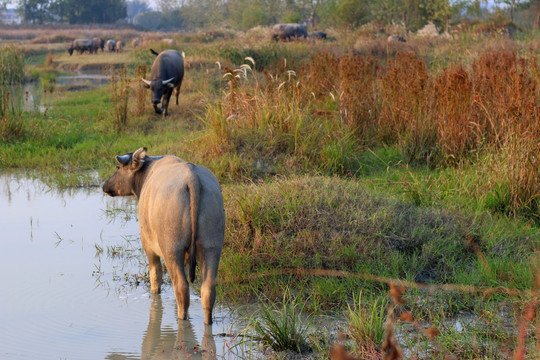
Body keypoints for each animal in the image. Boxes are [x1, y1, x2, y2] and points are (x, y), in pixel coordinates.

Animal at [102, 146, 225, 324]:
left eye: (118, 167)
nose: (105, 185)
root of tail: (192, 178)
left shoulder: (148, 245)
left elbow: (155, 275)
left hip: (172, 249)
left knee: (181, 287)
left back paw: (182, 318)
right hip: (212, 246)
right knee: (208, 289)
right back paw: (206, 321)